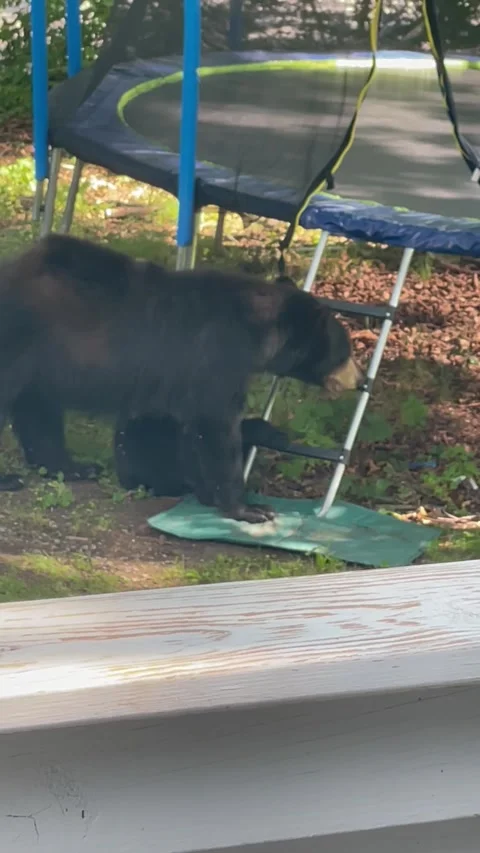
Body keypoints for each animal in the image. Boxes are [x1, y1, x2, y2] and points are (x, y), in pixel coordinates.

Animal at [0, 234, 361, 523]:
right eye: (346, 349)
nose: (361, 380)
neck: (256, 330)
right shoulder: (216, 357)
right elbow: (216, 426)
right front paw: (250, 509)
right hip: (19, 339)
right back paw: (11, 478)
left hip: (40, 361)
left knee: (39, 409)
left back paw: (73, 466)